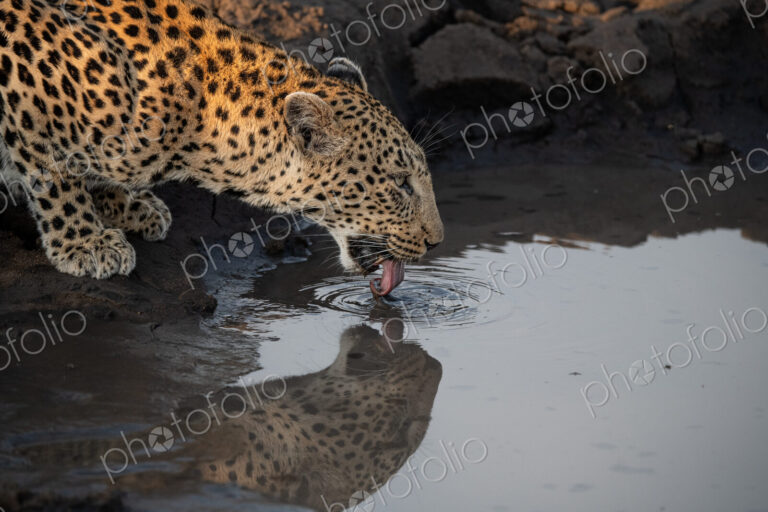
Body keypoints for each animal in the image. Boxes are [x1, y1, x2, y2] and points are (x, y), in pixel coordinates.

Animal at [0, 0, 444, 291]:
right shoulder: (26, 80)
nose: (437, 242)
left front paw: (126, 204)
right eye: (401, 184)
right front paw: (85, 242)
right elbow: (54, 175)